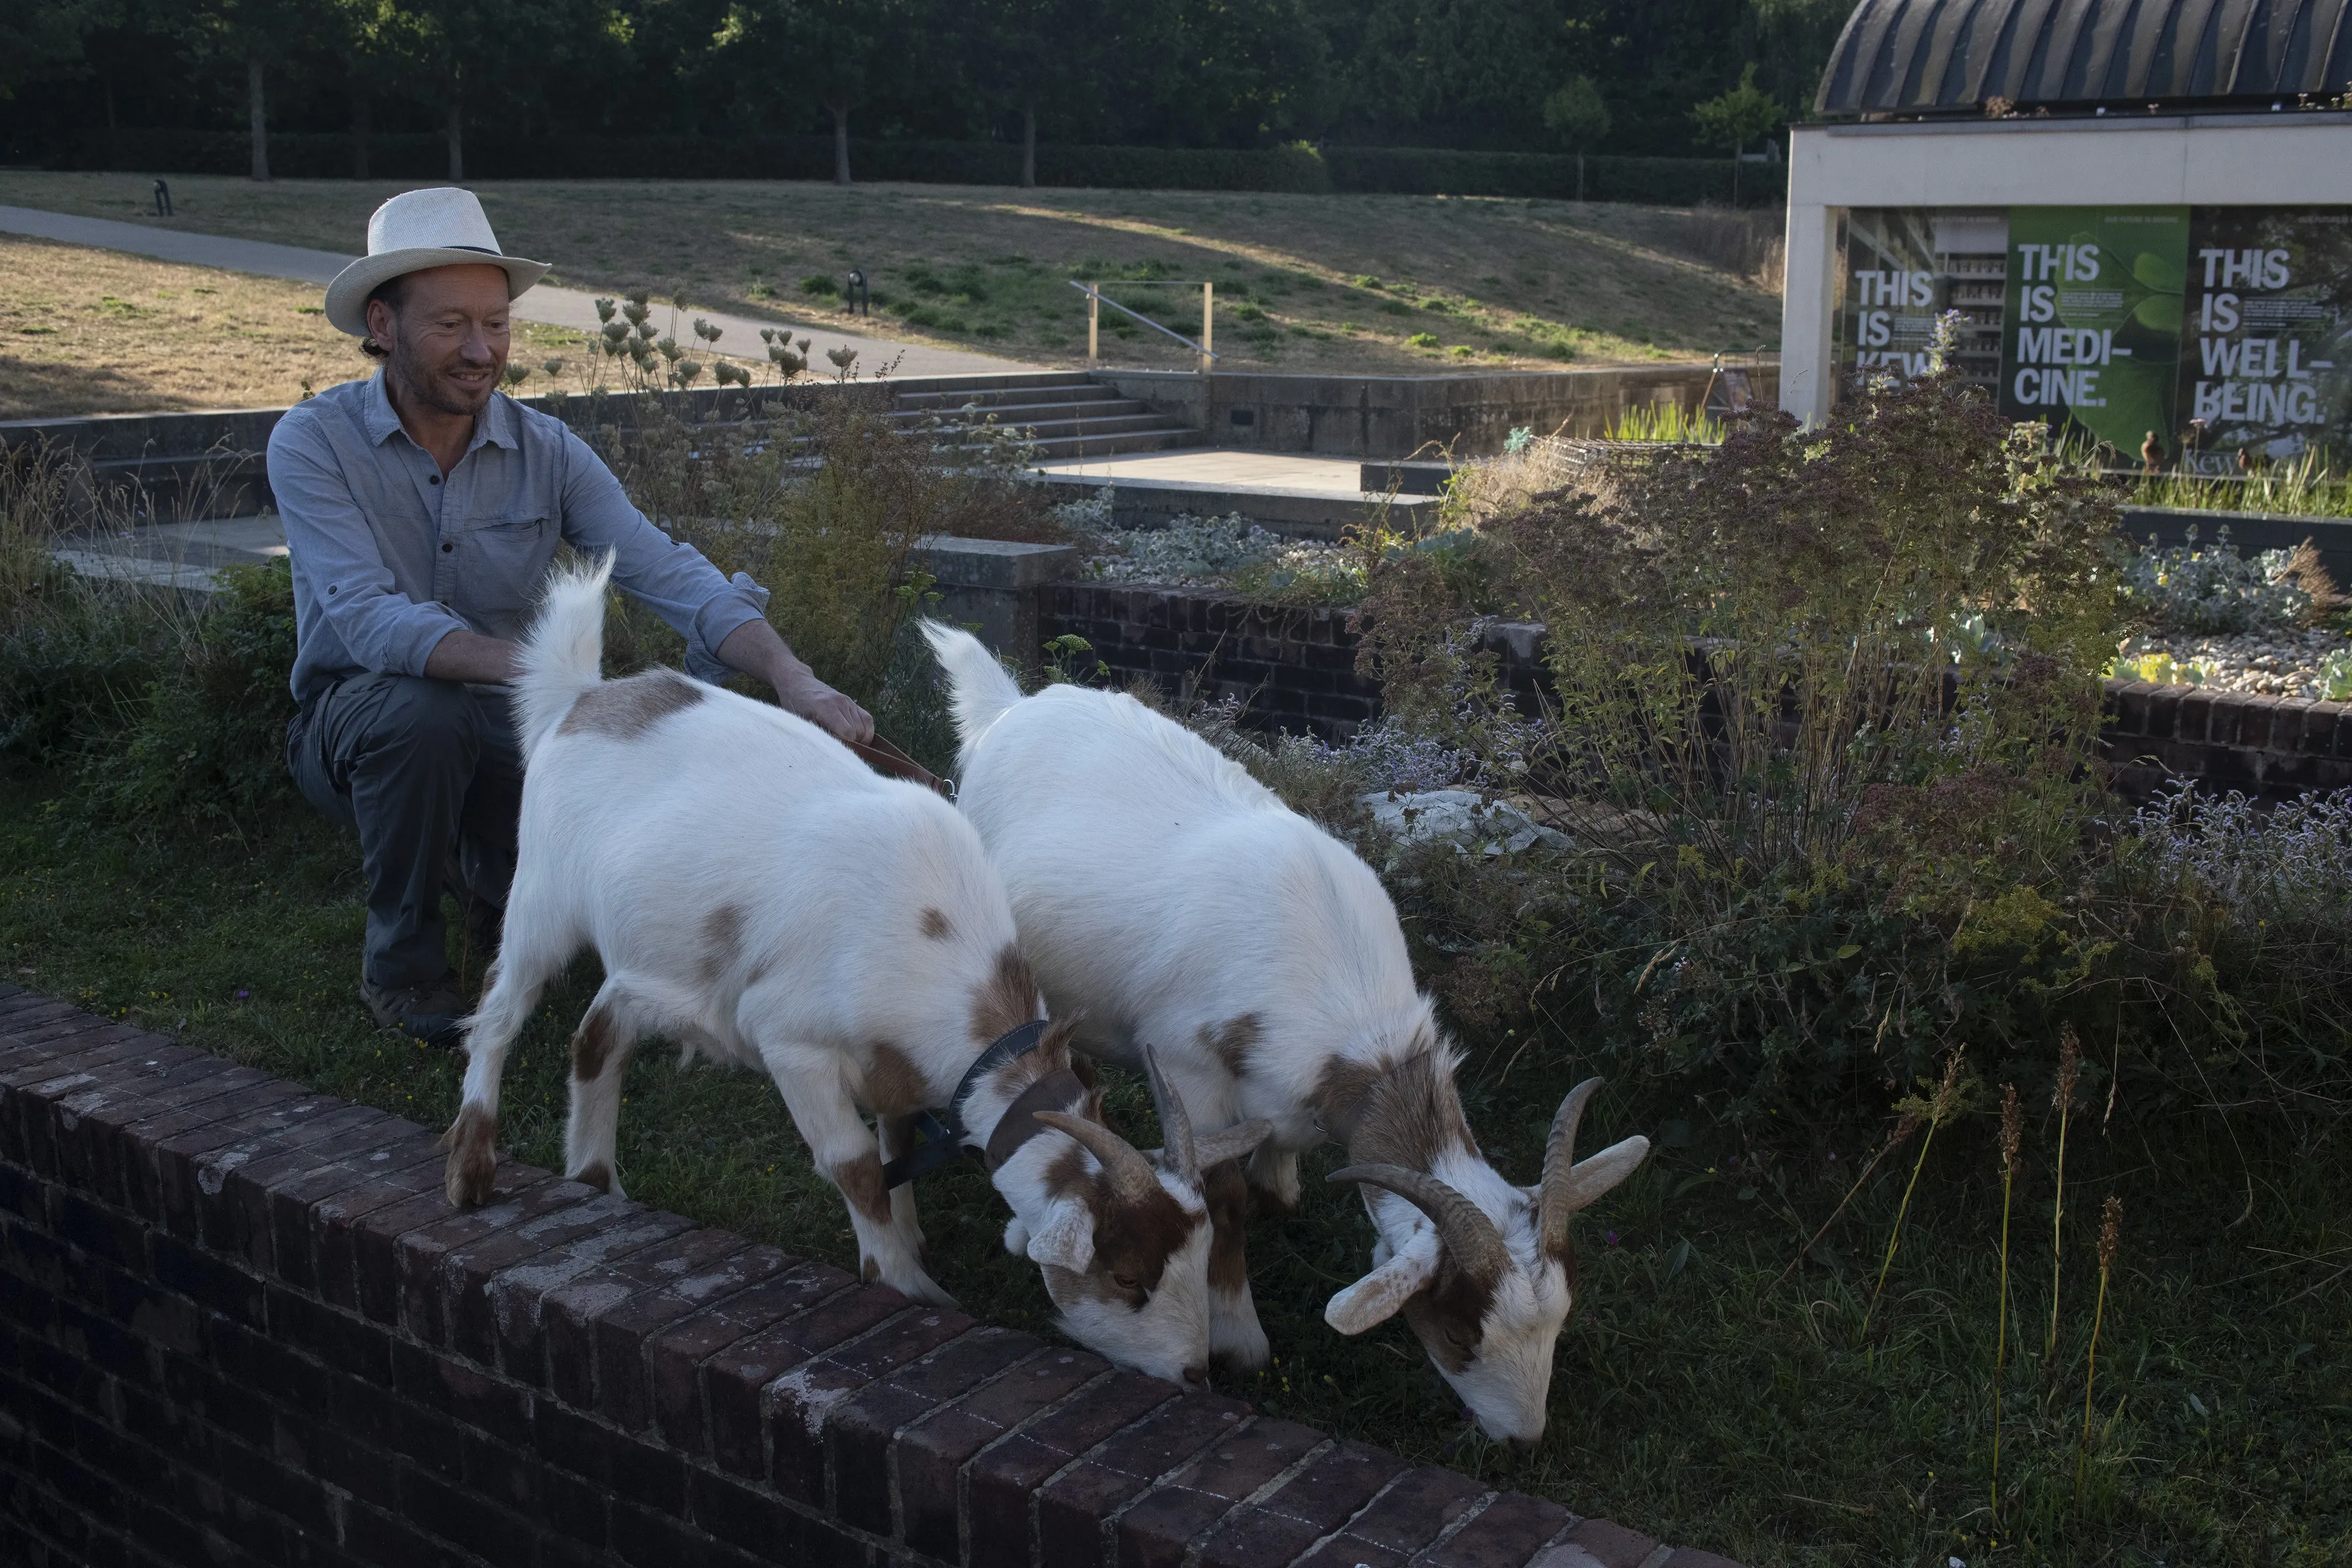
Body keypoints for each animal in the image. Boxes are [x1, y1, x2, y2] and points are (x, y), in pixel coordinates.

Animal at [442, 557, 1267, 1387]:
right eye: (1127, 1276)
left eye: (1201, 1257)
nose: (1197, 1374)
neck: (935, 941)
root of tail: (585, 697)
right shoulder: (789, 1043)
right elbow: (855, 1165)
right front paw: (905, 1283)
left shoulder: (898, 1068)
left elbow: (897, 1145)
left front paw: (911, 1241)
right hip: (542, 893)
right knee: (500, 1011)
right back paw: (472, 1168)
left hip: (660, 959)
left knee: (597, 1034)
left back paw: (595, 1178)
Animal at [926, 622, 1649, 1444]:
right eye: (1463, 1329)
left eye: (1563, 1313)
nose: (1525, 1439)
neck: (1340, 993)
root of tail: (1010, 706)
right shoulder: (1190, 1073)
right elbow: (1222, 1199)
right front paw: (1240, 1336)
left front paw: (1280, 1193)